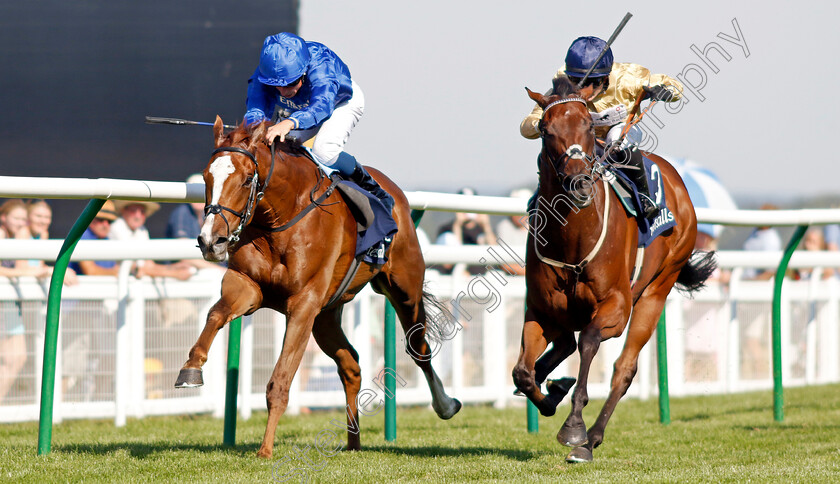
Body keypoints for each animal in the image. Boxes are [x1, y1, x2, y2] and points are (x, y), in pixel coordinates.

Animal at [176, 116, 460, 458]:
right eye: (207, 177)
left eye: (246, 180)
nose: (210, 241)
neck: (279, 219)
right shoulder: (247, 285)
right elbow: (216, 314)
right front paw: (191, 368)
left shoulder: (304, 303)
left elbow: (280, 381)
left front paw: (265, 450)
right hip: (326, 316)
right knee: (351, 365)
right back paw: (353, 441)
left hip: (405, 289)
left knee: (419, 348)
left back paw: (445, 405)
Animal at [512, 80, 716, 466]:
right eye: (545, 130)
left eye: (588, 125)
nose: (578, 183)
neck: (574, 239)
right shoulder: (541, 311)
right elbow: (523, 373)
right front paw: (550, 393)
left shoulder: (617, 308)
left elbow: (589, 341)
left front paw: (573, 425)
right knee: (561, 347)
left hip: (657, 289)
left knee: (624, 369)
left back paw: (589, 440)